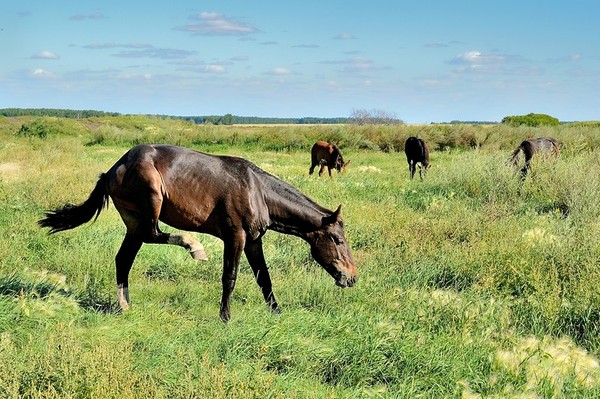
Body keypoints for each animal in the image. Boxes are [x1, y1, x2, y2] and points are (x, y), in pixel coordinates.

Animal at [39, 144, 356, 322]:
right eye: (338, 240)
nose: (351, 278)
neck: (258, 191)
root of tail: (113, 169)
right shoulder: (235, 237)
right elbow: (230, 278)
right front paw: (225, 318)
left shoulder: (253, 241)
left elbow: (263, 278)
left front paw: (276, 313)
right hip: (150, 204)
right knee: (155, 235)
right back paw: (195, 247)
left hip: (133, 223)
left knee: (123, 259)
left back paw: (125, 306)